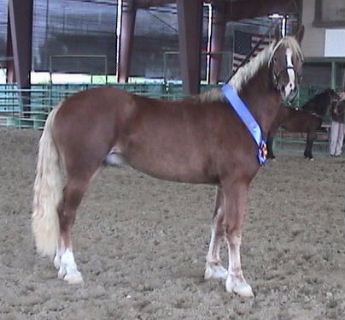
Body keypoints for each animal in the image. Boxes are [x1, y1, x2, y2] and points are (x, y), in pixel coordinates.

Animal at [30, 27, 302, 298]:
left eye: (297, 59)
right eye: (277, 58)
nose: (288, 86)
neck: (240, 114)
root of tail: (63, 106)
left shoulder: (223, 184)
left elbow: (218, 223)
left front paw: (214, 269)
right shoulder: (237, 183)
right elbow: (234, 230)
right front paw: (238, 282)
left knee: (59, 210)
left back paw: (60, 263)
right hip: (81, 174)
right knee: (66, 213)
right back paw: (70, 270)